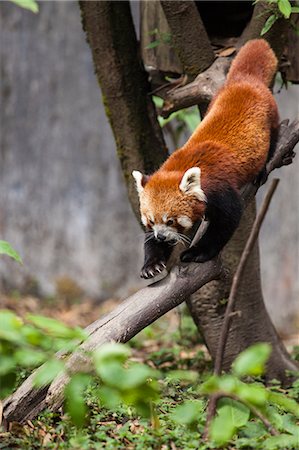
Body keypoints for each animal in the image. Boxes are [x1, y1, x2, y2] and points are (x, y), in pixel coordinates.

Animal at [132, 39, 280, 278]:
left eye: (171, 220)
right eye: (151, 220)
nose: (161, 236)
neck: (178, 167)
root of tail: (245, 81)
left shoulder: (220, 190)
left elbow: (227, 221)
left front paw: (198, 253)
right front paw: (152, 262)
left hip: (271, 118)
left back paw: (262, 169)